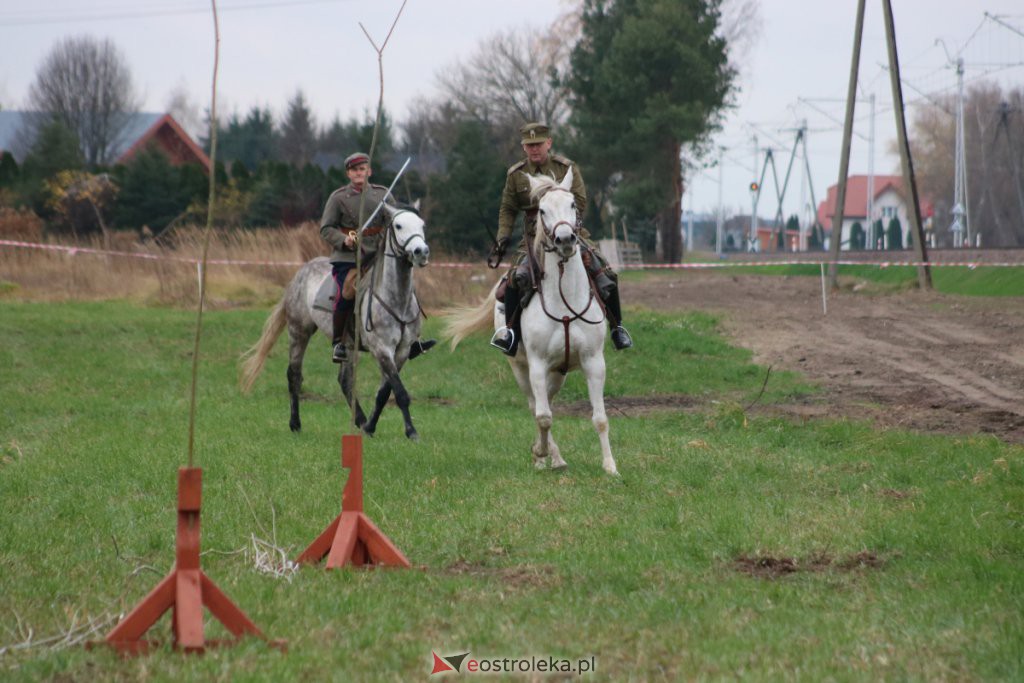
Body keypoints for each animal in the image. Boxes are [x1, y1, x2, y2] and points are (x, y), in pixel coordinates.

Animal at [238, 202, 428, 438]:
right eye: (399, 225)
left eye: (422, 225)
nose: (421, 252)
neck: (396, 299)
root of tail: (300, 272)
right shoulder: (382, 349)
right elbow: (399, 392)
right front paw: (411, 432)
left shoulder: (401, 351)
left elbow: (384, 392)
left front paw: (370, 427)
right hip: (298, 332)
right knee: (294, 375)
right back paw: (295, 424)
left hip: (348, 344)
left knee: (344, 381)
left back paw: (360, 421)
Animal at [442, 169, 614, 475]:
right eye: (542, 210)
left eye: (572, 204)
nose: (565, 239)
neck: (565, 301)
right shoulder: (536, 365)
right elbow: (543, 416)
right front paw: (540, 452)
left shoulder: (594, 361)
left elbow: (600, 417)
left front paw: (610, 466)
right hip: (520, 368)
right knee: (536, 407)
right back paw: (546, 456)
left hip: (558, 372)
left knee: (548, 401)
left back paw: (555, 457)